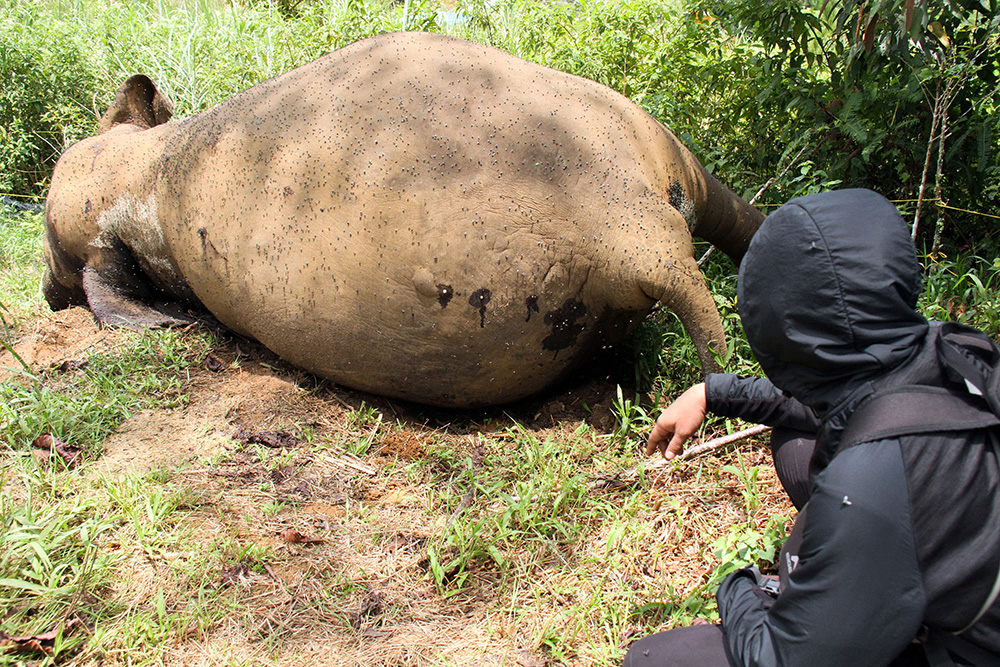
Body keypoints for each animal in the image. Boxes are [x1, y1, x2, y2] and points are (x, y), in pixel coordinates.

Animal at [39, 31, 760, 410]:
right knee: (736, 225)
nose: (48, 289)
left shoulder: (102, 239)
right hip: (678, 168)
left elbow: (110, 281)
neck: (147, 168)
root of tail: (628, 225)